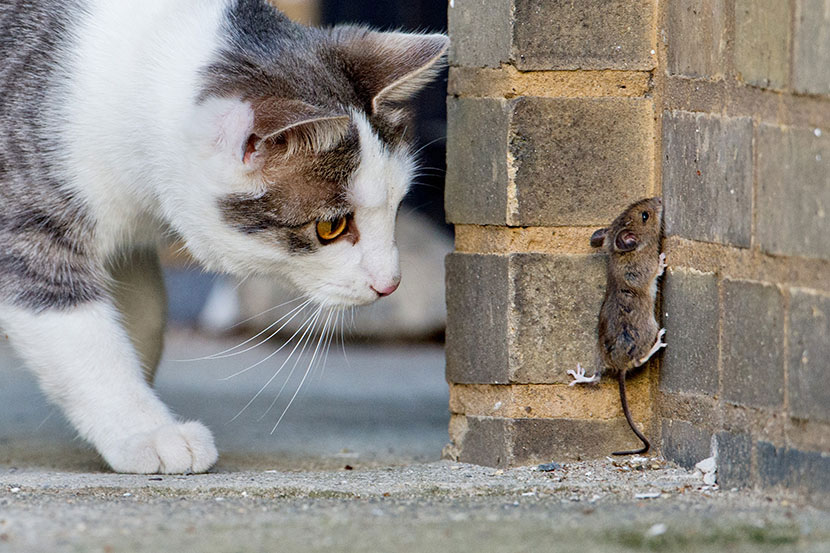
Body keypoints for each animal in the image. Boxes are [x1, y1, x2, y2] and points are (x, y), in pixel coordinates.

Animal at [0, 1, 448, 474]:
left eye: (397, 206)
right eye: (332, 227)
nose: (390, 284)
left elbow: (146, 313)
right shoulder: (25, 227)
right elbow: (84, 340)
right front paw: (148, 432)